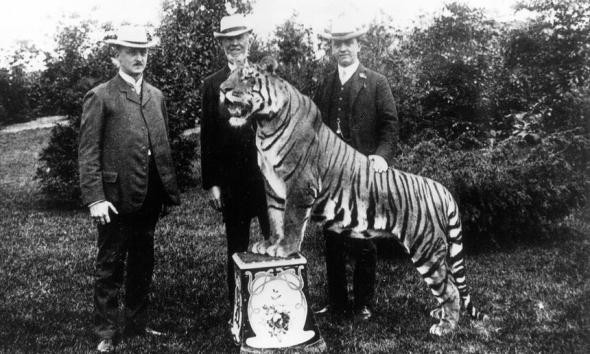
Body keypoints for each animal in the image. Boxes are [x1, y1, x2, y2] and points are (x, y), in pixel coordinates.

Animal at [220, 58, 488, 334]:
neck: (264, 124)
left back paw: (445, 327)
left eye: (248, 76)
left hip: (426, 247)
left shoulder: (299, 184)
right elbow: (275, 219)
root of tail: (441, 188)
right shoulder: (273, 188)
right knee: (449, 284)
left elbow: (292, 222)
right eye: (230, 74)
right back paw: (439, 314)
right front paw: (269, 245)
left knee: (450, 289)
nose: (222, 89)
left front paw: (284, 251)